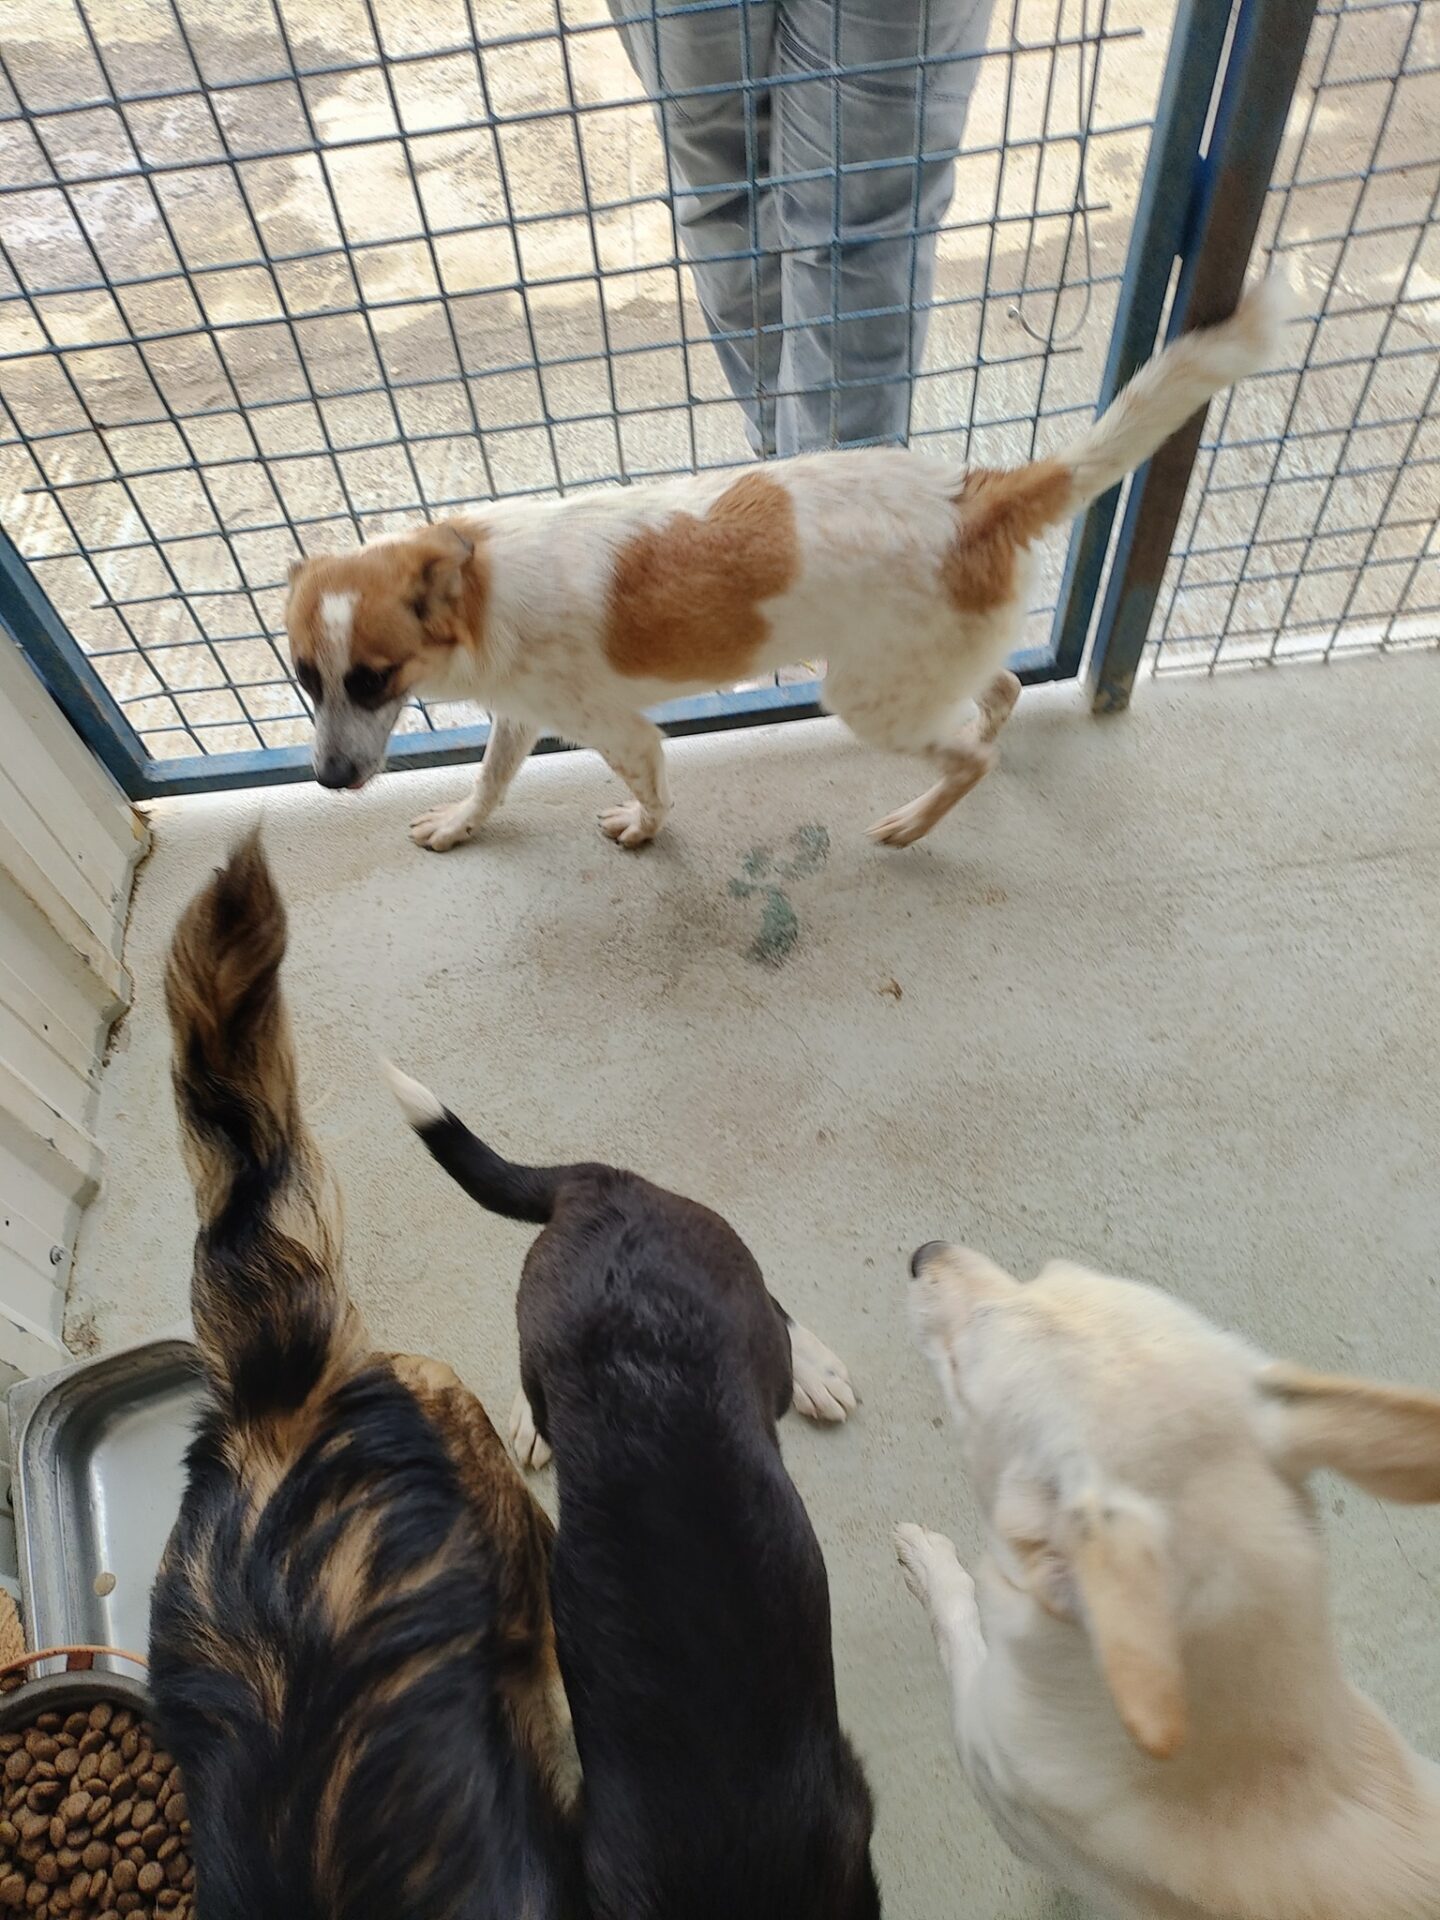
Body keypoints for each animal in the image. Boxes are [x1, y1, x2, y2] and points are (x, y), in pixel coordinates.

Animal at [286, 278, 1288, 855]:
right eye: (305, 679)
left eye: (373, 678)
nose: (327, 781)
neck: (482, 590)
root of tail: (975, 495)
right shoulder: (522, 718)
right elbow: (491, 780)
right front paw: (461, 825)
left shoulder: (622, 732)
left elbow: (649, 788)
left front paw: (642, 831)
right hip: (912, 667)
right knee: (1000, 691)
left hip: (864, 697)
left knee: (972, 757)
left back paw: (915, 822)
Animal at [895, 1240, 1440, 1920]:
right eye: (1046, 1274)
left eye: (960, 1366)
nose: (926, 1253)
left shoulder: (985, 1744)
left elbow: (959, 1620)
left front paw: (929, 1563)